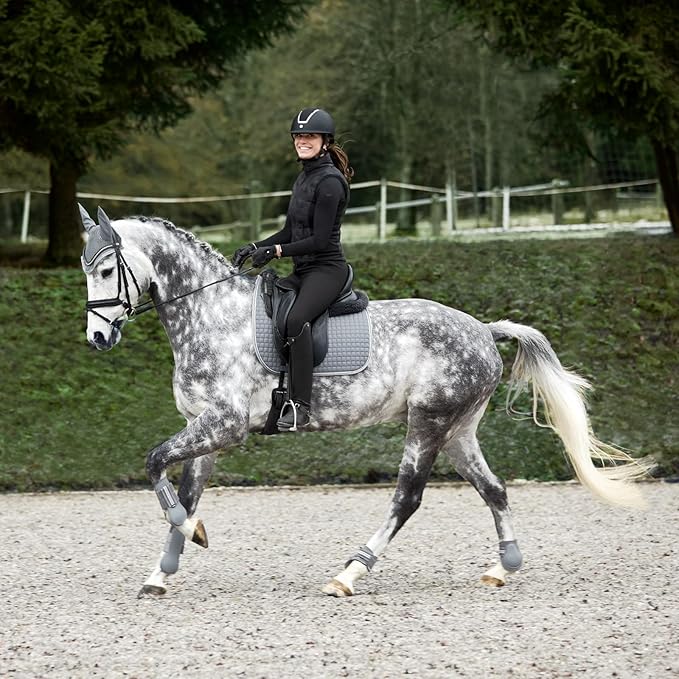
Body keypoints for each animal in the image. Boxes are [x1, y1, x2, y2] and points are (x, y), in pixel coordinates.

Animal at [79, 205, 648, 598]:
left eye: (106, 271)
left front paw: (190, 534)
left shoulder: (225, 425)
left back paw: (349, 574)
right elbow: (184, 491)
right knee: (495, 489)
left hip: (429, 423)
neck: (211, 314)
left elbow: (154, 463)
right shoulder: (206, 430)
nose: (97, 339)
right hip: (457, 430)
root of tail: (483, 330)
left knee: (407, 498)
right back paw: (502, 567)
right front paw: (163, 570)